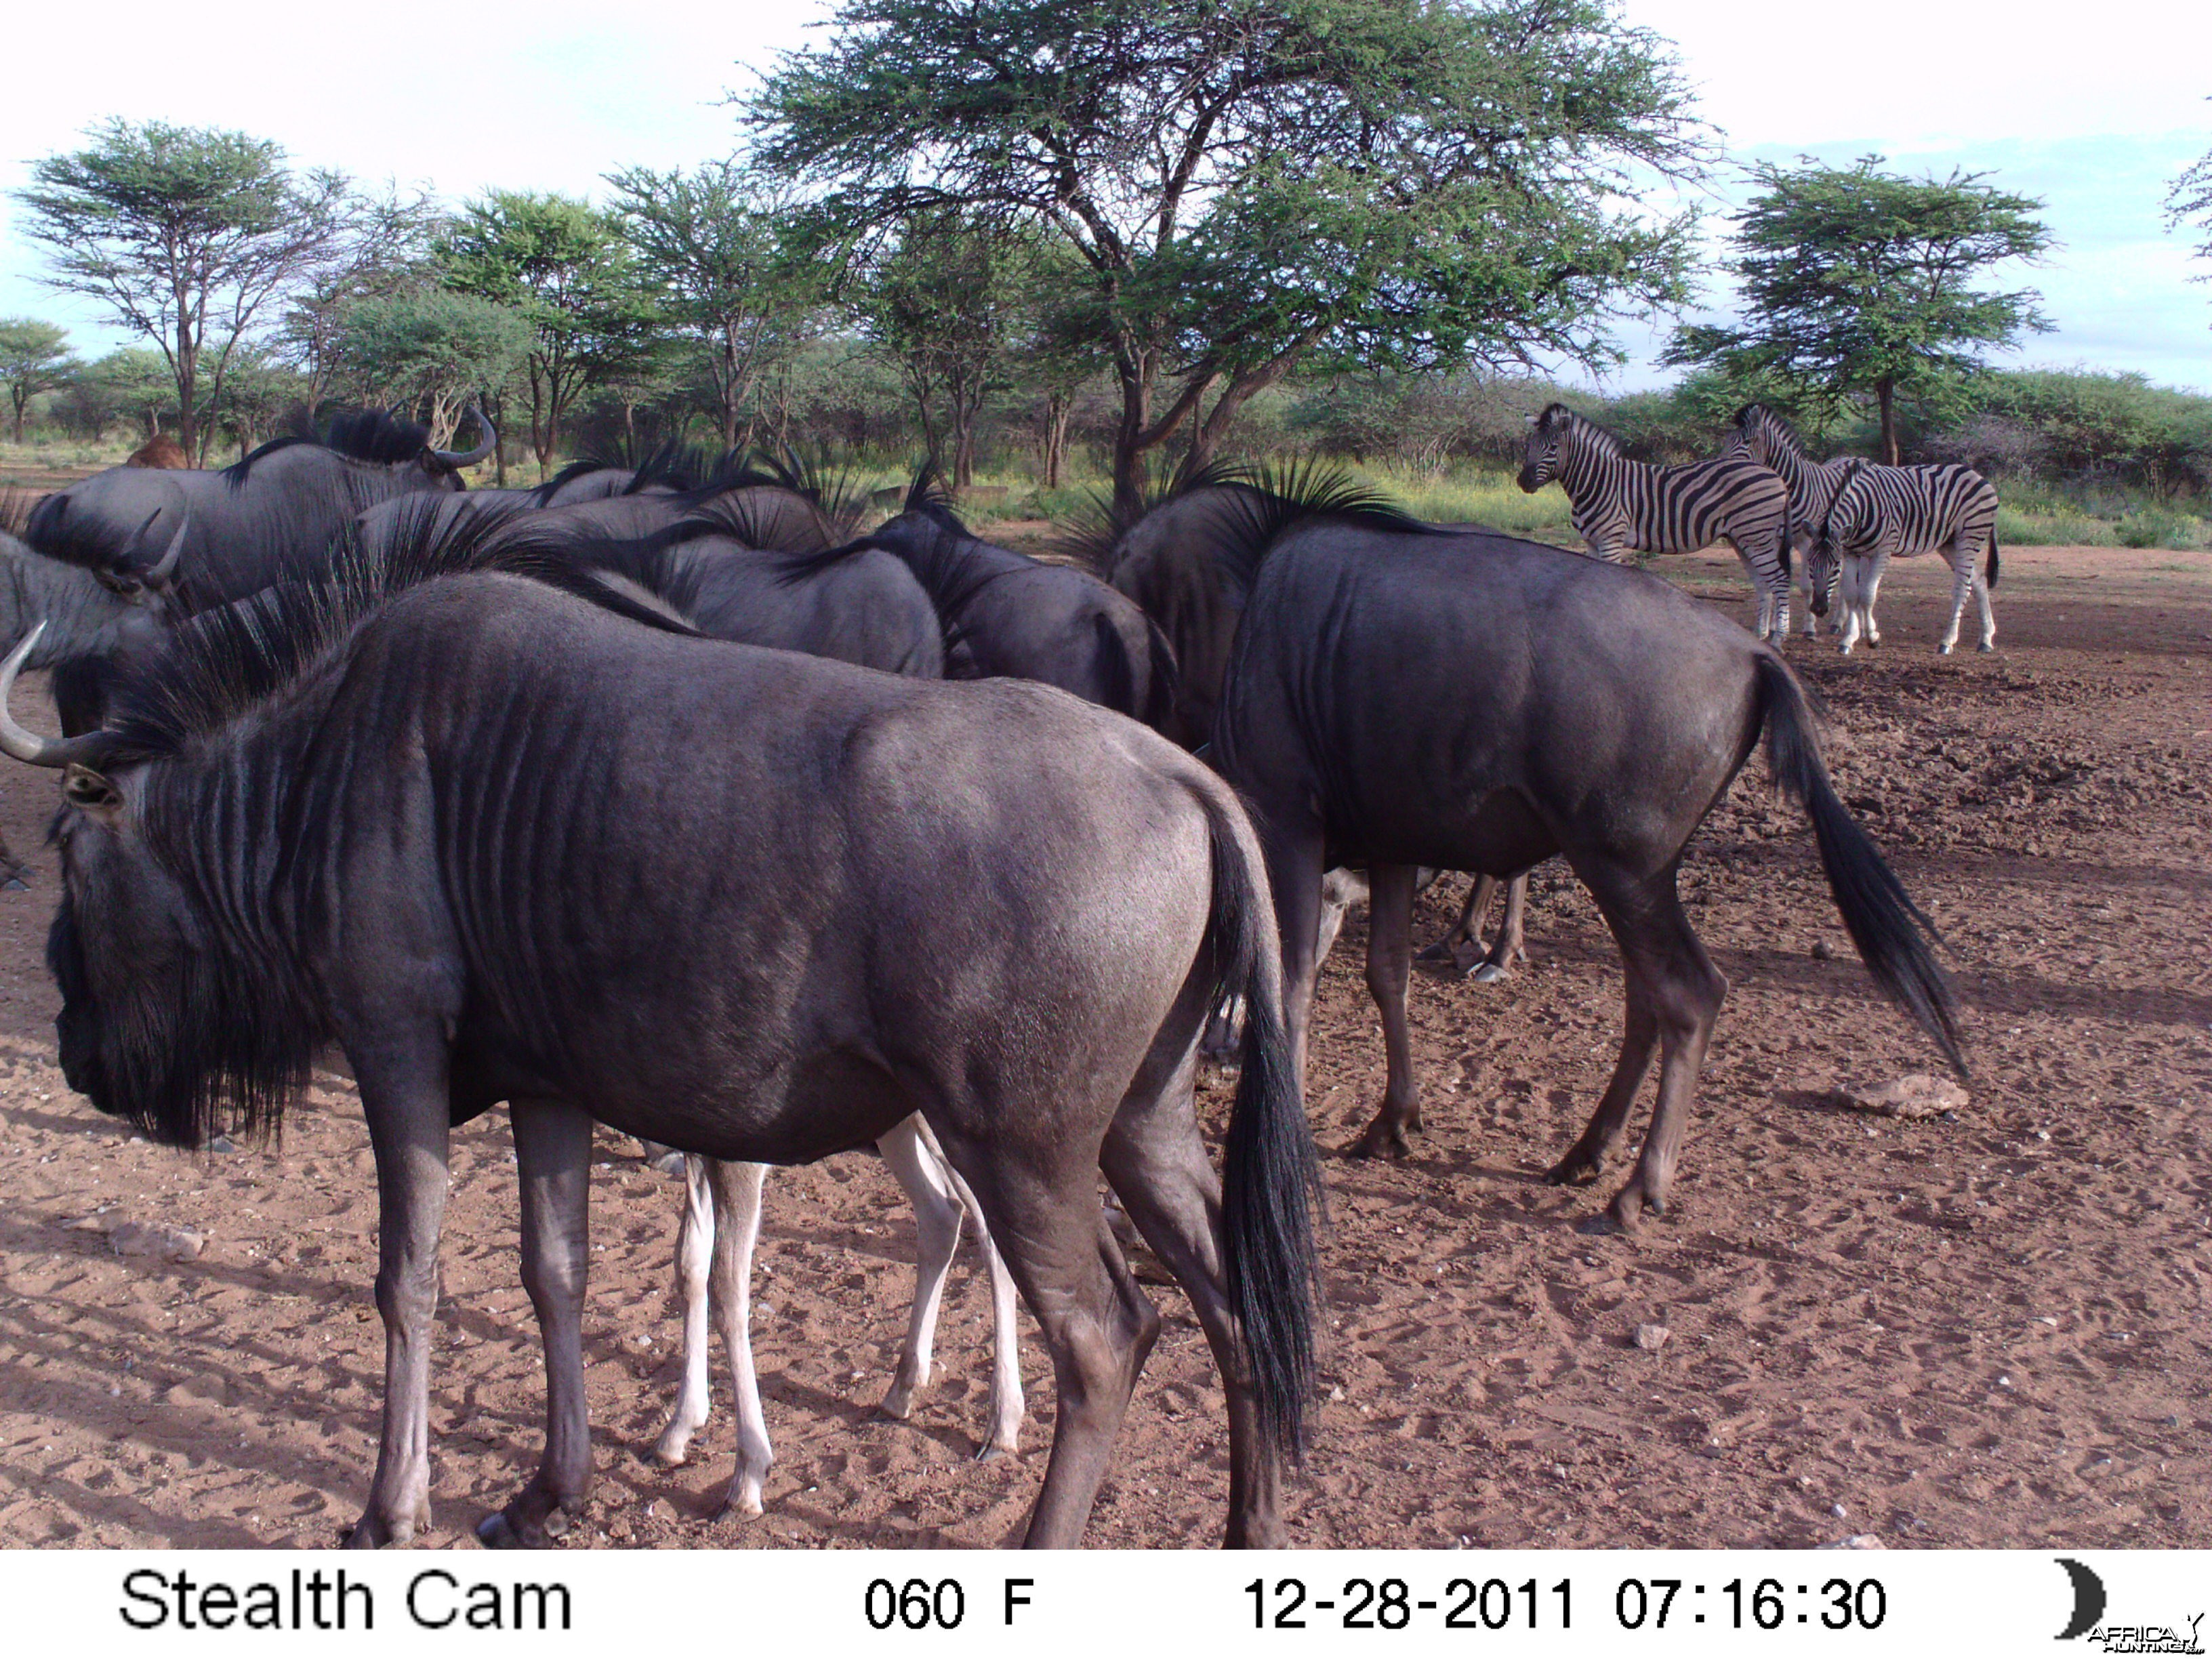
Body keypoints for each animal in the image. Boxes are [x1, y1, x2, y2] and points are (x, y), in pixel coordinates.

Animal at [1521, 403, 1796, 641]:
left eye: (1553, 447)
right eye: (1529, 445)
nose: (1523, 481)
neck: (1596, 482)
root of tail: (1776, 476)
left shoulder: (1611, 539)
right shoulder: (1590, 542)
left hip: (1757, 535)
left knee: (1780, 580)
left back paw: (1779, 638)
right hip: (1744, 538)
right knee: (1763, 583)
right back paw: (1760, 635)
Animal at [1716, 400, 1858, 641]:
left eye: (1747, 442)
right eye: (1726, 441)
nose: (1721, 466)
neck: (1790, 485)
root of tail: (1853, 457)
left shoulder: (1808, 541)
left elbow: (1807, 586)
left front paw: (1809, 629)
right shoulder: (1778, 539)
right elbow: (1779, 578)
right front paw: (1774, 627)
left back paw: (1838, 622)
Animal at [1814, 462, 2008, 663]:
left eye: (1835, 568)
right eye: (1811, 564)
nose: (1818, 609)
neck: (1863, 508)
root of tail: (1979, 477)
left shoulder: (1883, 550)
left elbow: (1867, 595)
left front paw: (1872, 638)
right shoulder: (1851, 553)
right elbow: (1852, 595)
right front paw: (1848, 640)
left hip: (1968, 537)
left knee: (1963, 587)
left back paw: (1947, 642)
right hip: (1949, 543)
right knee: (1978, 581)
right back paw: (1986, 639)